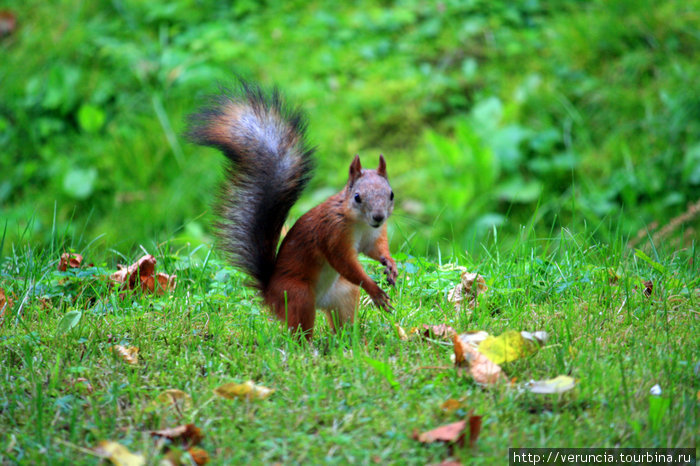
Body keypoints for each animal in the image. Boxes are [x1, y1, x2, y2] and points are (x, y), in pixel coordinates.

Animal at [187, 81, 400, 338]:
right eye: (357, 197)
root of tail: (269, 292)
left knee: (342, 322)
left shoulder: (373, 236)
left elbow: (375, 250)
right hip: (299, 296)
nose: (378, 217)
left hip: (344, 294)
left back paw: (351, 341)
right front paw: (374, 289)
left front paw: (390, 264)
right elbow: (345, 264)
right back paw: (310, 346)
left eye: (391, 194)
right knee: (300, 331)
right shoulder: (332, 234)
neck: (359, 224)